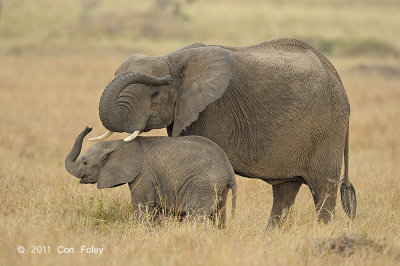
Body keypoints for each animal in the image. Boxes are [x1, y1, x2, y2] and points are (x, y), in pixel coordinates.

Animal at [64, 127, 236, 227]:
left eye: (85, 162)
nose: (88, 127)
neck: (118, 143)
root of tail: (229, 171)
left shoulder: (143, 174)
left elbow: (142, 205)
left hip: (204, 184)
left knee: (196, 215)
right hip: (219, 187)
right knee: (219, 216)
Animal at [90, 38, 356, 229]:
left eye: (155, 94)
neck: (171, 58)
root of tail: (336, 75)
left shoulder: (214, 110)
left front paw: (215, 231)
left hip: (327, 127)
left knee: (323, 187)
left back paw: (321, 232)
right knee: (285, 190)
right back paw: (270, 236)